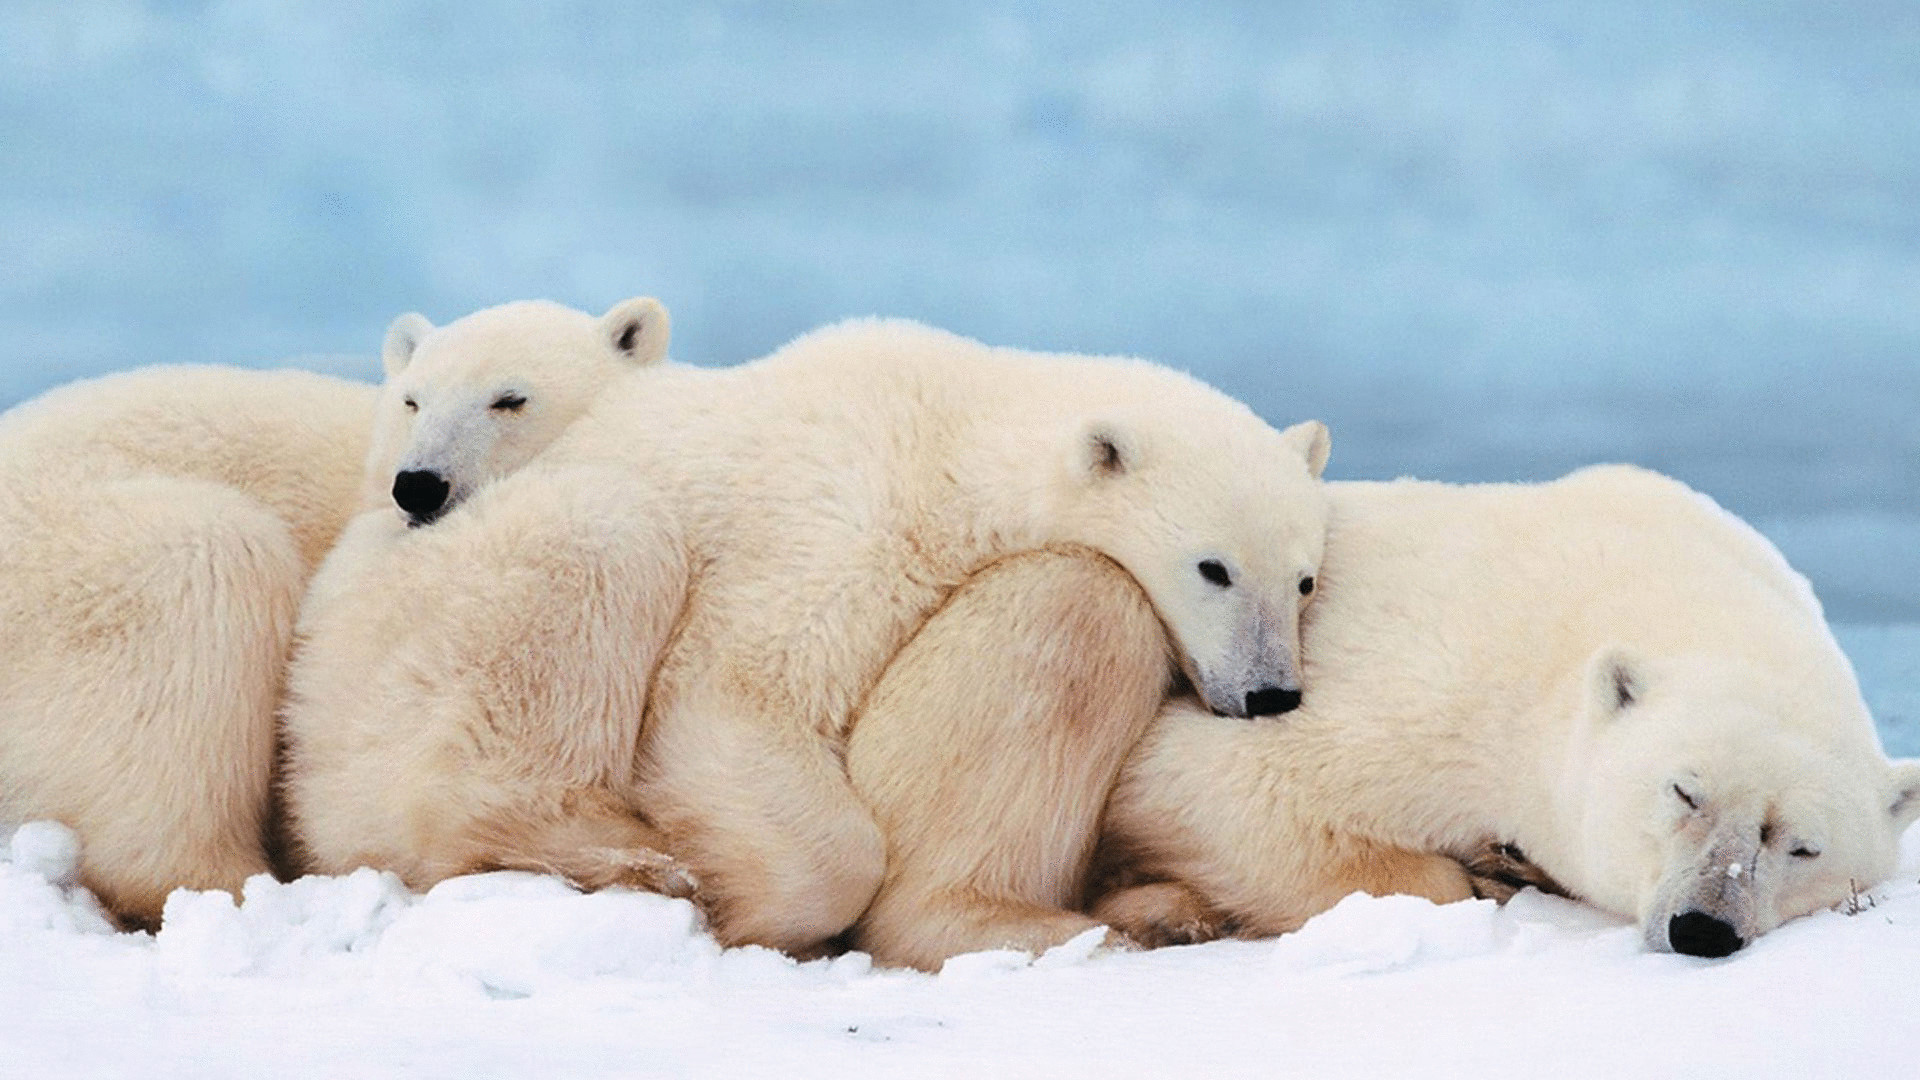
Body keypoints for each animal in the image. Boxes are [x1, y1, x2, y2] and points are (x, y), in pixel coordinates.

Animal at [280, 315, 1336, 953]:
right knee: (600, 538)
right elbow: (736, 691)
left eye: (1304, 578)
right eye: (1213, 567)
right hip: (415, 633)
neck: (951, 431)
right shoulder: (841, 519)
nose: (1270, 693)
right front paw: (753, 909)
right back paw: (620, 856)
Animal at [856, 463, 1920, 957]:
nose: (1705, 926)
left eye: (1802, 845)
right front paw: (1479, 872)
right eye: (1683, 792)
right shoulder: (1445, 681)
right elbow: (1211, 784)